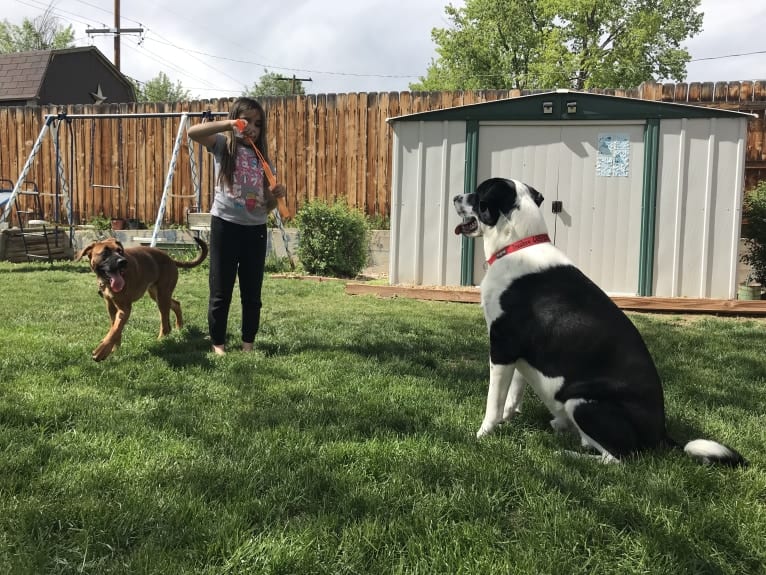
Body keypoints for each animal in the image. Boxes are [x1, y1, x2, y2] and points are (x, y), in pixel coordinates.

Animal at [76, 236, 208, 362]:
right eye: (105, 253)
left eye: (120, 251)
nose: (123, 262)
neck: (108, 282)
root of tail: (169, 258)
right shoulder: (111, 307)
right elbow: (115, 329)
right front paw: (114, 348)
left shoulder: (124, 309)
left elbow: (115, 330)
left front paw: (101, 351)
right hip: (157, 295)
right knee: (176, 304)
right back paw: (179, 326)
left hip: (162, 296)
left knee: (165, 324)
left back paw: (161, 340)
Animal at [452, 178, 748, 466]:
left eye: (478, 194)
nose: (455, 197)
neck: (517, 245)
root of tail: (660, 435)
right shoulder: (518, 354)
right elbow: (513, 395)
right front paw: (507, 419)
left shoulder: (502, 346)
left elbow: (494, 401)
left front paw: (483, 433)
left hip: (583, 403)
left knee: (619, 458)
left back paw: (567, 454)